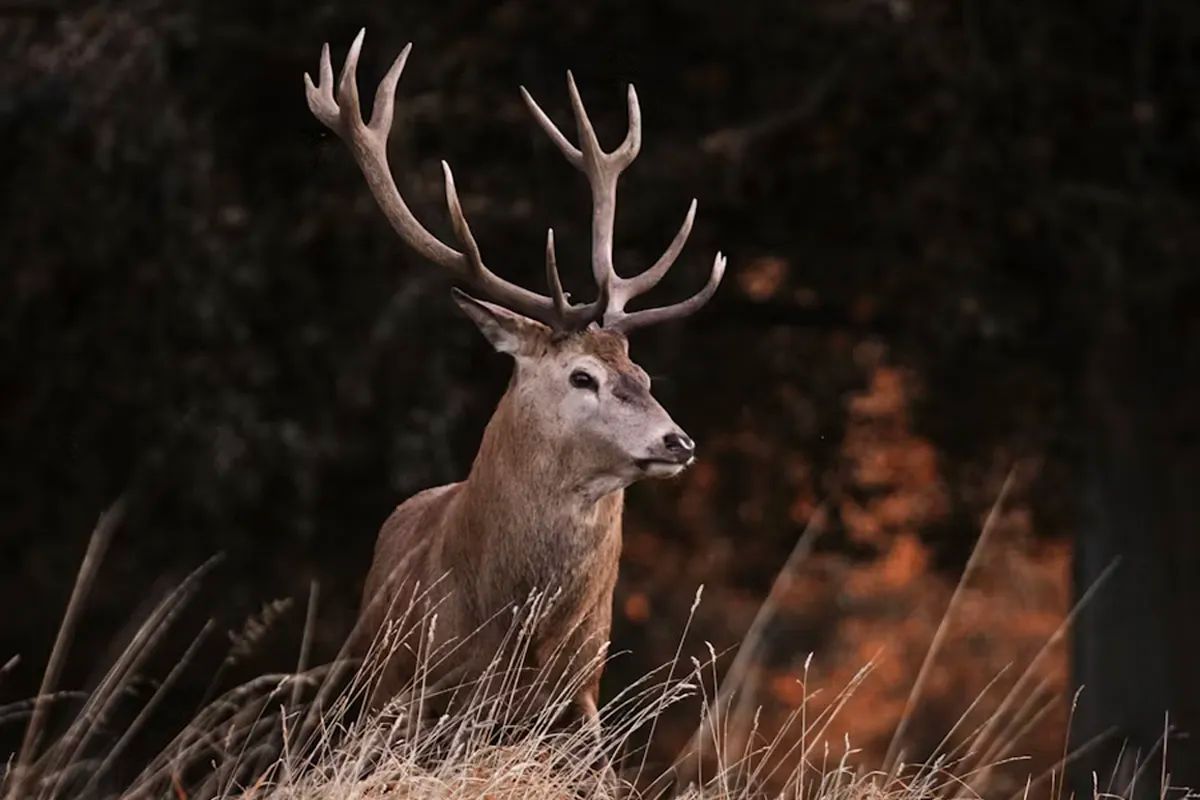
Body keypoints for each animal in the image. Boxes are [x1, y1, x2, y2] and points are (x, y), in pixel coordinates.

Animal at [304, 31, 725, 745]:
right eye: (582, 376)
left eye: (642, 375)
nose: (679, 442)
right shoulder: (413, 689)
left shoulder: (579, 698)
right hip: (365, 675)